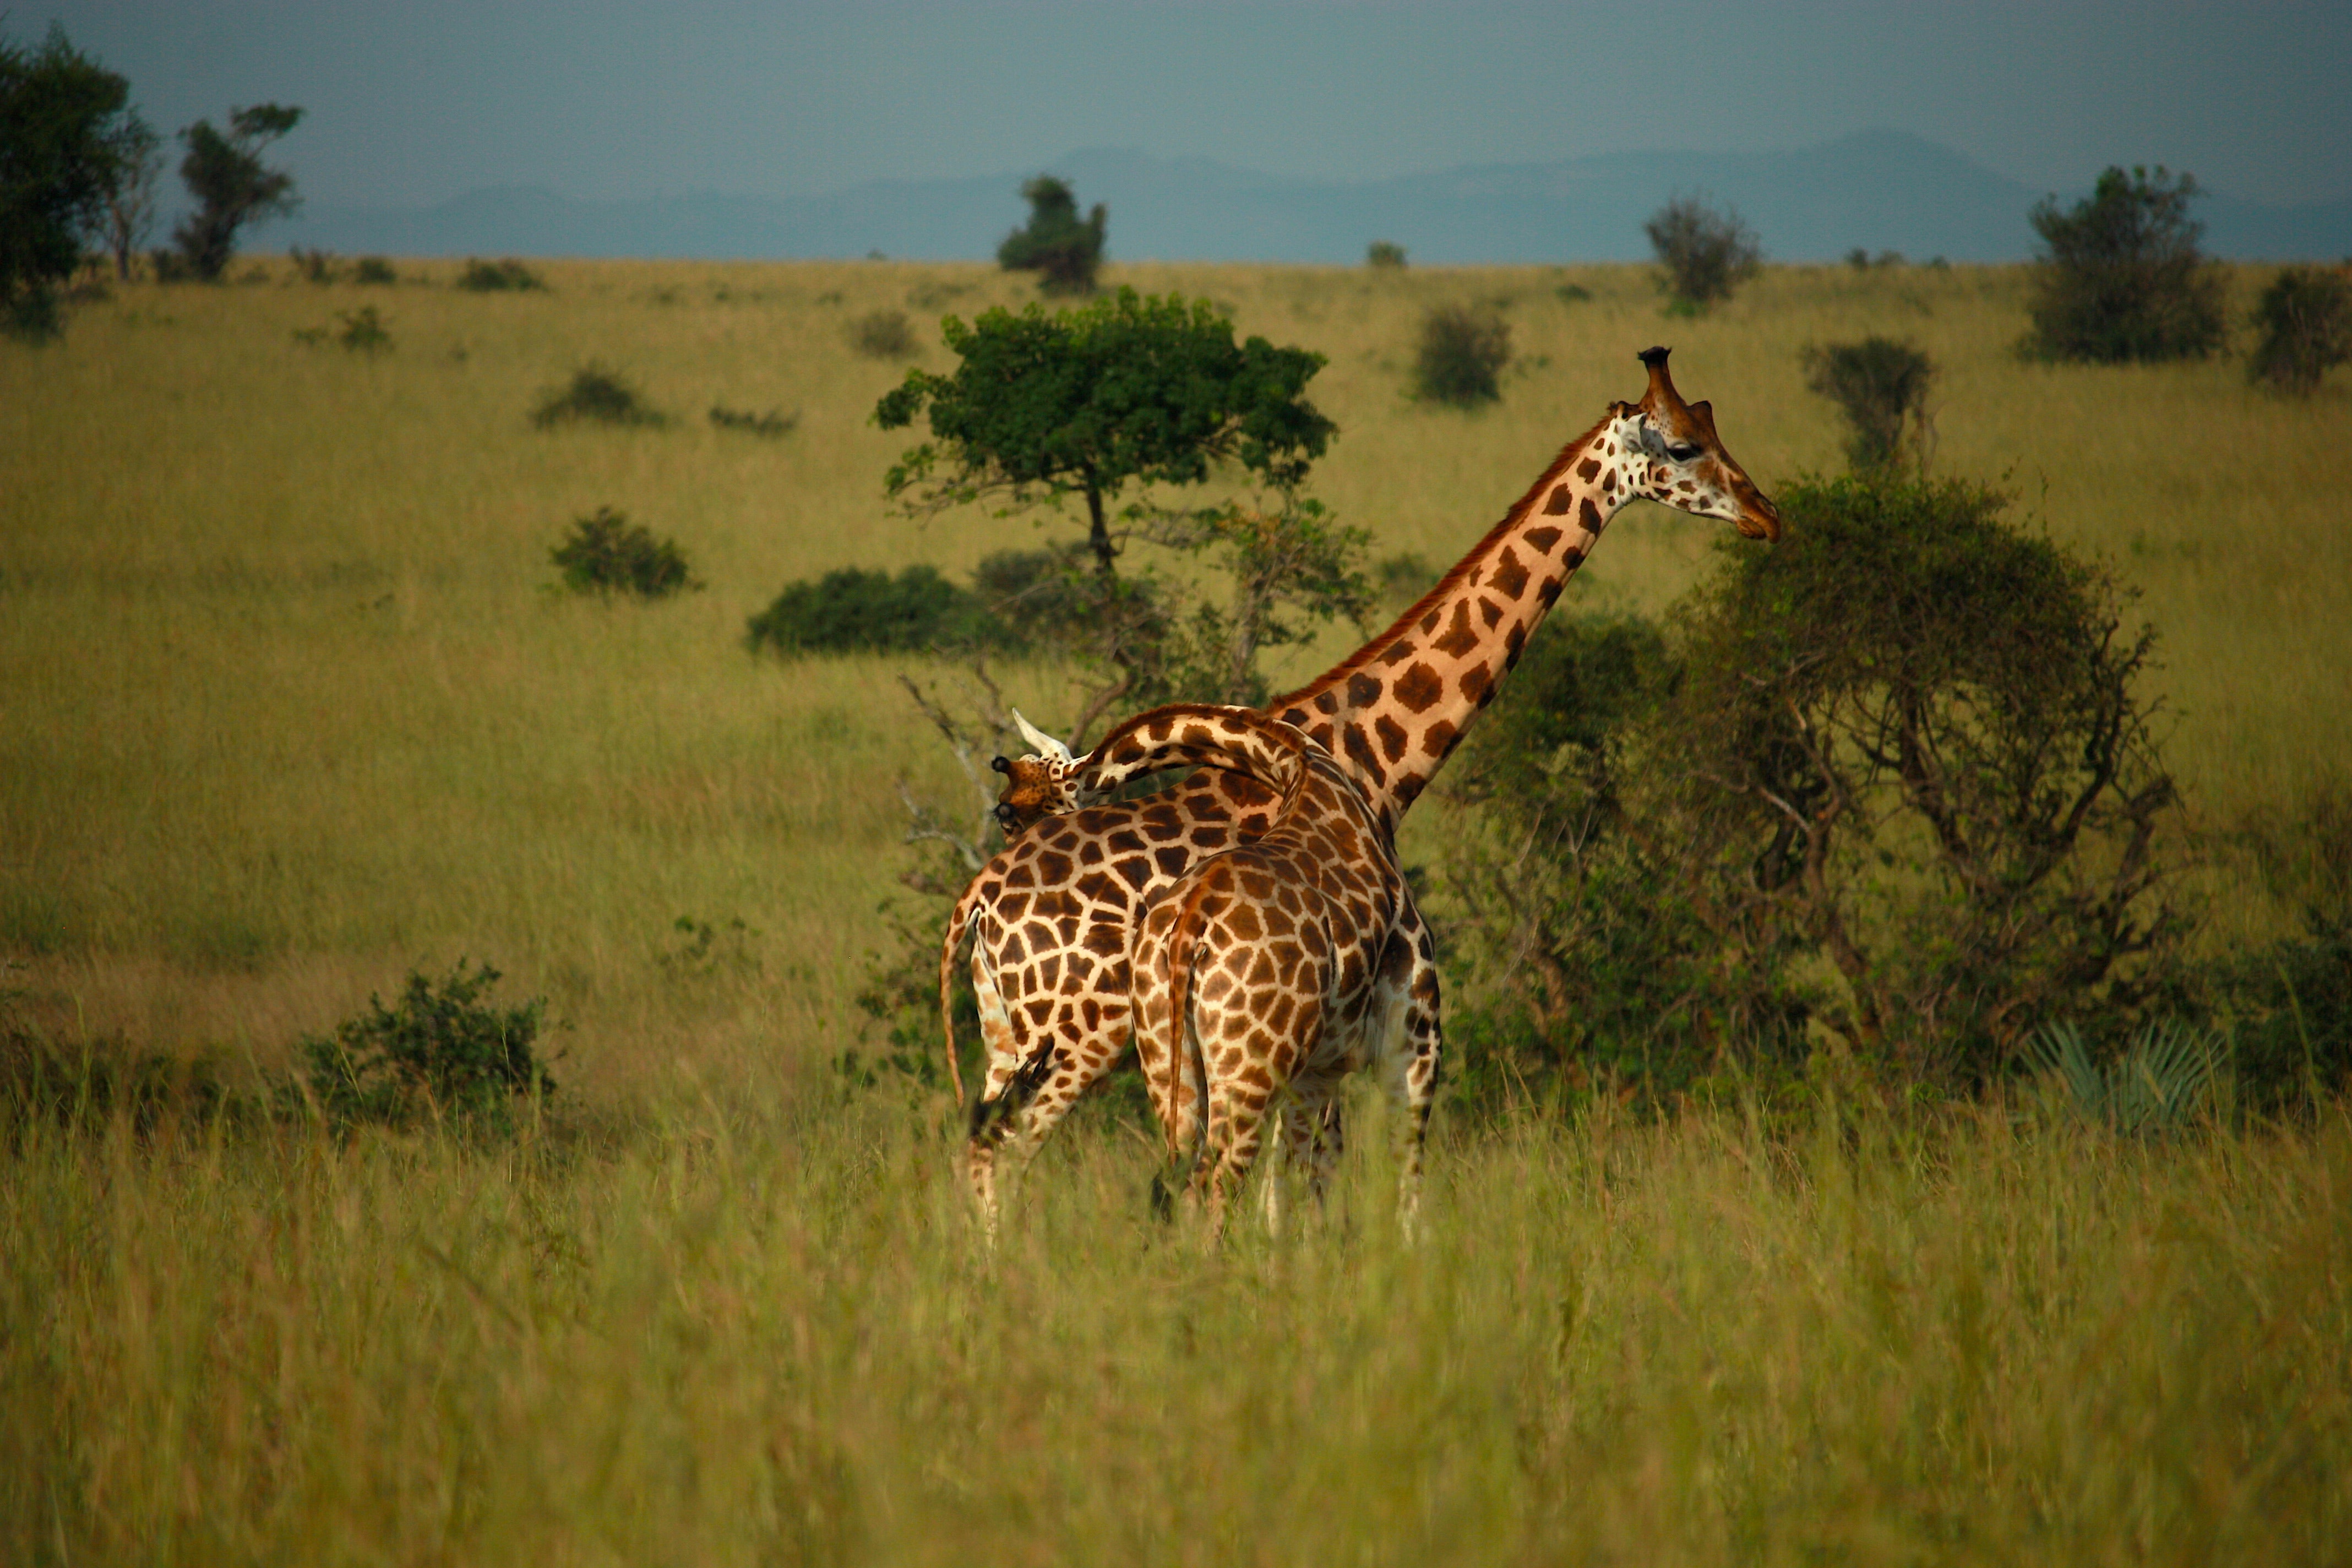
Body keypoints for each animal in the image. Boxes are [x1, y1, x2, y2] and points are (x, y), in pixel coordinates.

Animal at [945, 350, 1768, 1232]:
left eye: (1714, 425)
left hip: (1011, 1035)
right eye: (1683, 446)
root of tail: (981, 903)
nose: (1764, 514)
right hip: (1081, 1036)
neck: (1367, 757)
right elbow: (1315, 1186)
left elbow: (1288, 1190)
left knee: (987, 1152)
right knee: (1011, 1155)